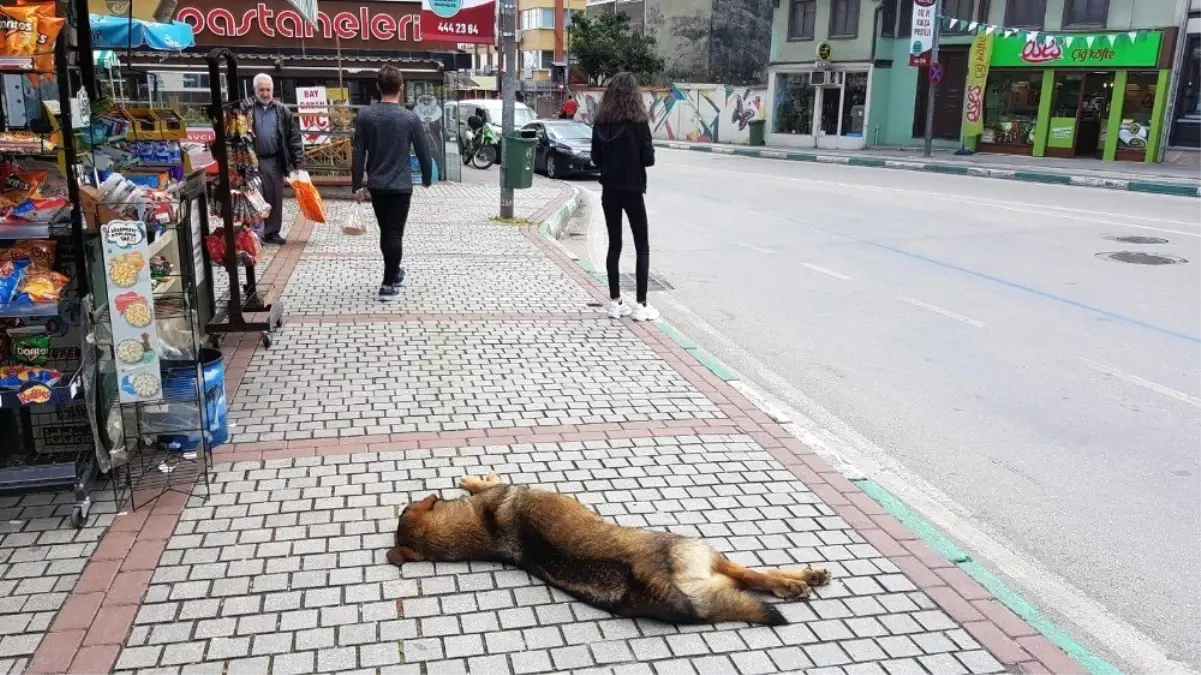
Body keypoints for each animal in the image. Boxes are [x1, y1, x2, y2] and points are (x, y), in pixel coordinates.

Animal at [389, 473, 831, 619]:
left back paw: (803, 580)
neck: (484, 527)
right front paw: (472, 480)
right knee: (751, 573)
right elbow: (487, 481)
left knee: (749, 580)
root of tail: (659, 589)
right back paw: (799, 580)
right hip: (700, 549)